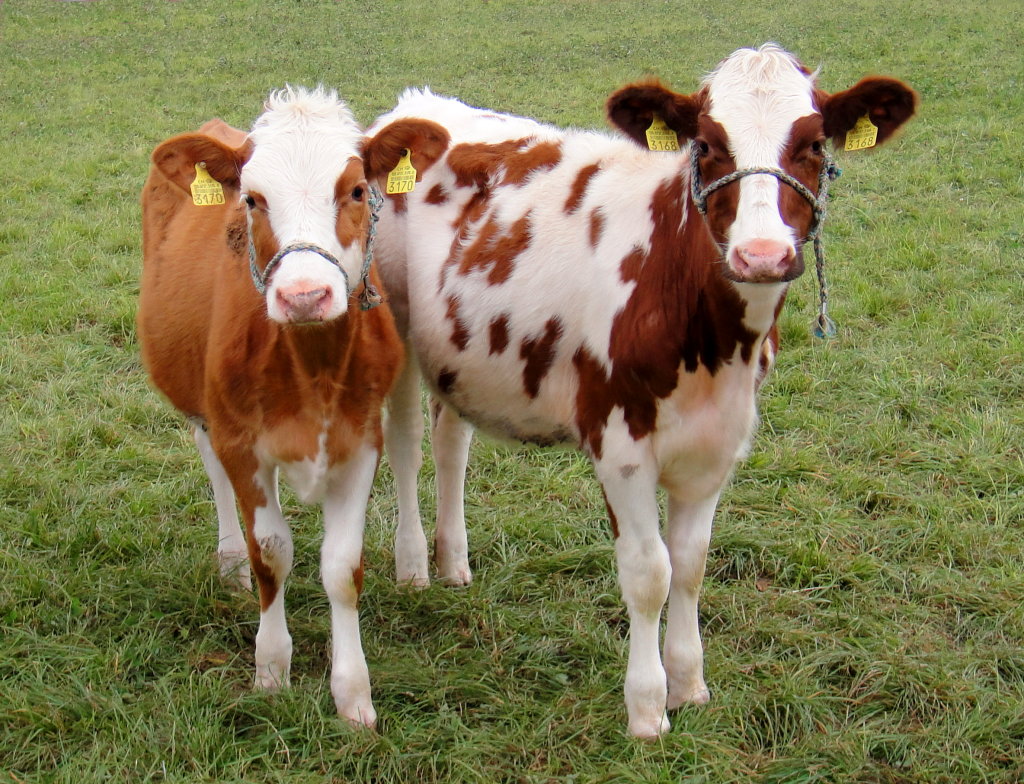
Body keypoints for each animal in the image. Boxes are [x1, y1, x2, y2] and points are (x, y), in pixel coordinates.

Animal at [138, 86, 402, 729]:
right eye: (253, 200)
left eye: (356, 190)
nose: (305, 295)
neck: (312, 366)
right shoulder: (240, 441)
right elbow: (273, 554)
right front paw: (272, 669)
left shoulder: (362, 441)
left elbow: (342, 567)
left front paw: (353, 695)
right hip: (204, 409)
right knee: (214, 471)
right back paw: (230, 559)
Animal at [361, 45, 916, 737]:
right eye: (707, 145)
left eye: (814, 144)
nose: (762, 255)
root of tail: (416, 105)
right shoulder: (618, 442)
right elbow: (649, 570)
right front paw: (648, 708)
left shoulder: (719, 443)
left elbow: (692, 562)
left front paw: (690, 683)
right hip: (396, 323)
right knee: (407, 443)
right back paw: (413, 566)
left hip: (458, 352)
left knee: (450, 444)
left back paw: (454, 560)